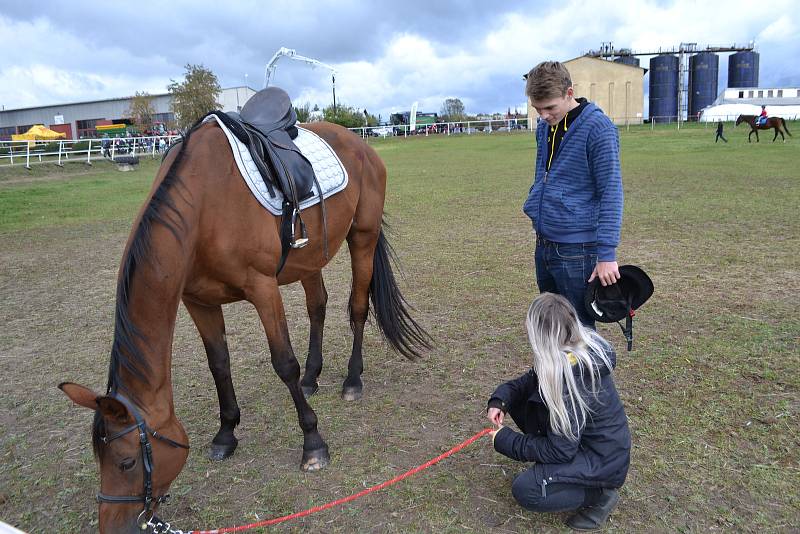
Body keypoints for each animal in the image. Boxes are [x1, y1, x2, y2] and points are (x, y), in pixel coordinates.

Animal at [57, 119, 432, 532]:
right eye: (100, 461)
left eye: (126, 462)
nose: (112, 526)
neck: (202, 207)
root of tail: (358, 142)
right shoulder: (199, 302)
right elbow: (219, 364)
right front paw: (226, 434)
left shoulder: (263, 288)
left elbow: (284, 364)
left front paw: (313, 443)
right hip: (310, 257)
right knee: (317, 307)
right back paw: (313, 377)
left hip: (362, 237)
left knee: (358, 309)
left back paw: (352, 380)